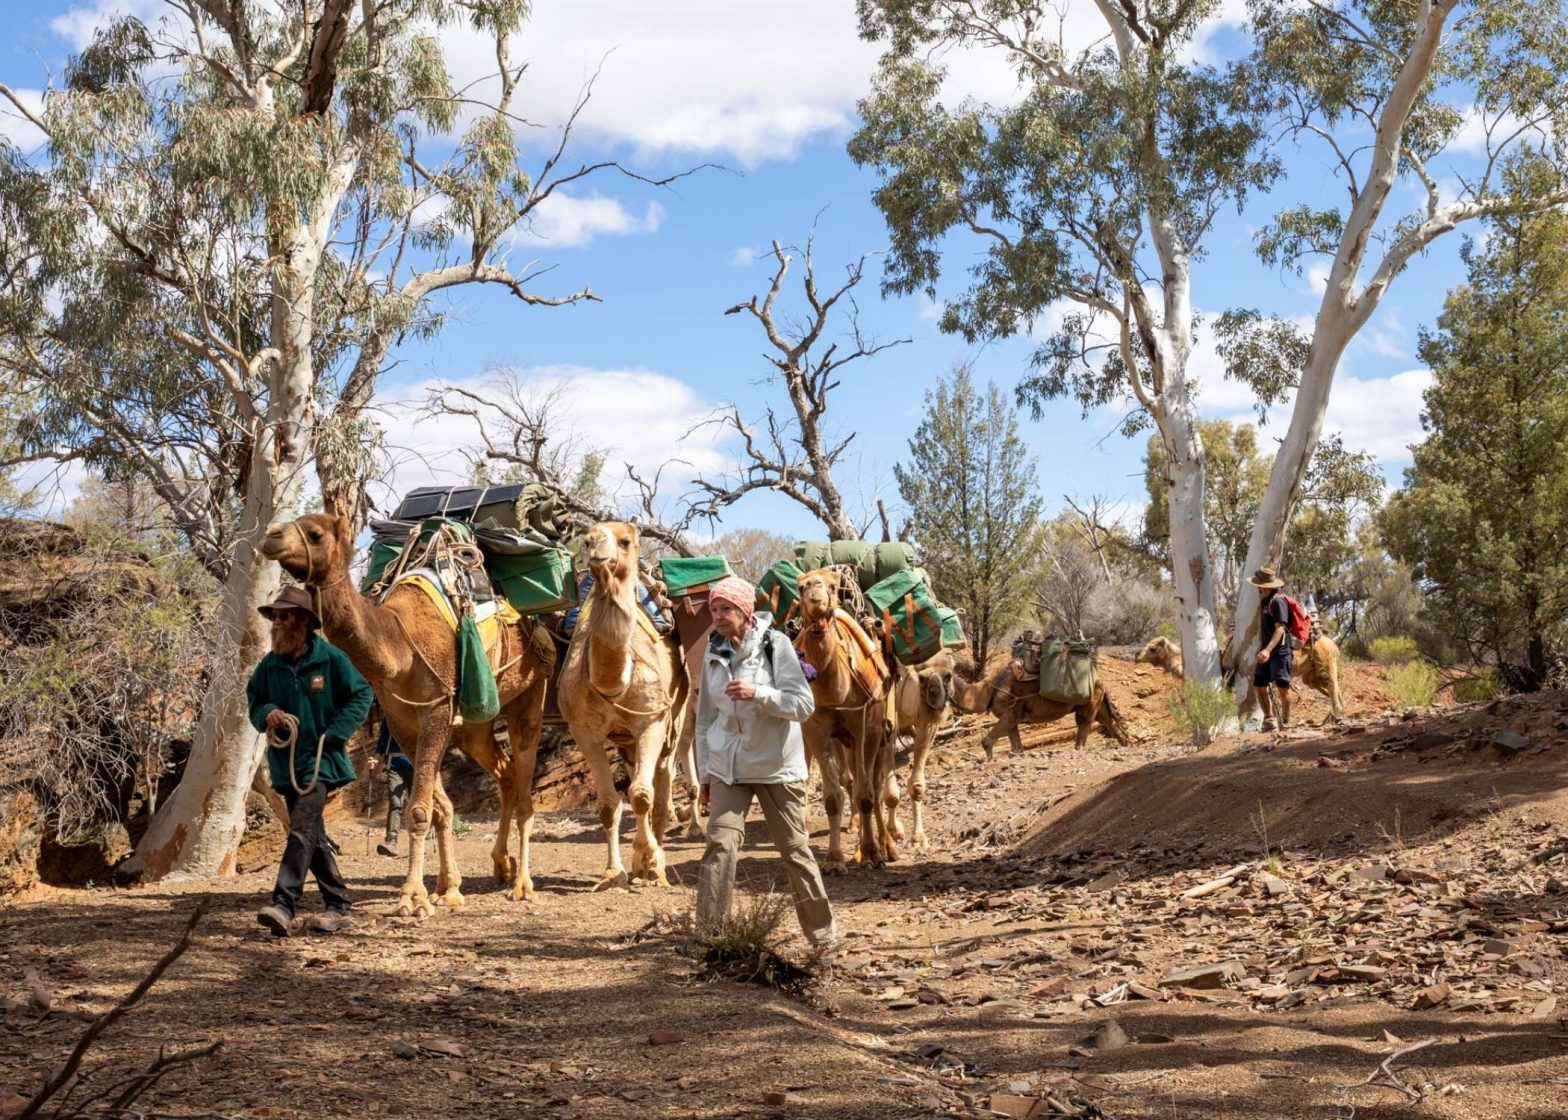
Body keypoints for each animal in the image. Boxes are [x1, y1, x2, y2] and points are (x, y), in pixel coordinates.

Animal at [261, 514, 551, 916]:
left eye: (315, 534)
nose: (271, 536)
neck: (400, 647)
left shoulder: (436, 709)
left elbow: (420, 811)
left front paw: (413, 897)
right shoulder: (402, 721)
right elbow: (440, 807)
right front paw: (448, 889)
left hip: (530, 691)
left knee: (524, 787)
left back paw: (523, 884)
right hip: (476, 723)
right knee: (505, 773)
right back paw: (500, 865)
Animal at [557, 521, 689, 889]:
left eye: (626, 540)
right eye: (587, 537)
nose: (596, 545)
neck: (614, 683)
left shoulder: (652, 721)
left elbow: (642, 796)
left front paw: (652, 866)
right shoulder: (584, 730)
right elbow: (608, 804)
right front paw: (614, 871)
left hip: (676, 717)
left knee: (662, 778)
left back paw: (657, 855)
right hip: (627, 740)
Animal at [794, 567, 899, 871]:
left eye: (832, 586)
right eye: (801, 586)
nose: (815, 592)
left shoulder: (868, 725)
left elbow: (867, 794)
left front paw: (873, 853)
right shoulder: (816, 728)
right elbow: (833, 797)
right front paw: (834, 859)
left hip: (885, 730)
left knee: (876, 784)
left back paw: (886, 847)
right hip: (847, 742)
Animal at [951, 656, 1129, 760]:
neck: (986, 690)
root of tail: (1100, 680)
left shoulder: (1009, 713)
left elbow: (987, 741)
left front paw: (989, 761)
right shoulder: (1012, 718)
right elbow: (1017, 749)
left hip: (1089, 700)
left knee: (1085, 721)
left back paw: (1080, 748)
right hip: (1099, 700)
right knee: (1107, 721)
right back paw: (1125, 743)